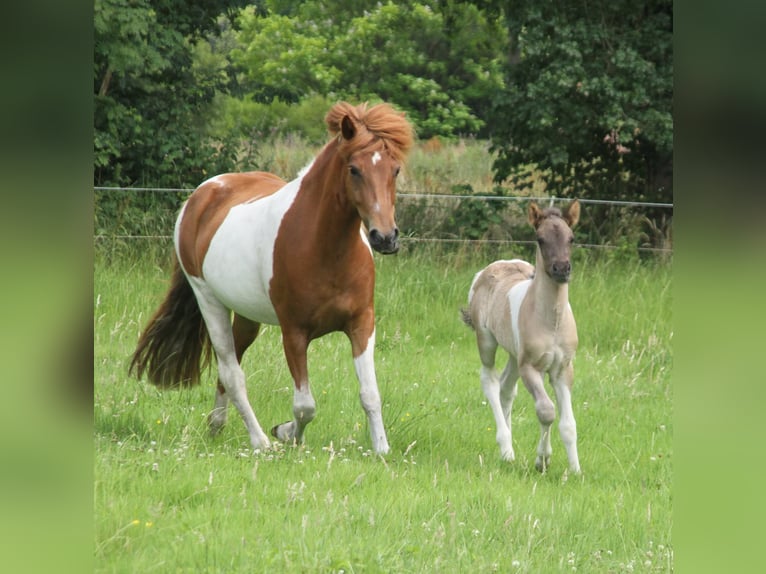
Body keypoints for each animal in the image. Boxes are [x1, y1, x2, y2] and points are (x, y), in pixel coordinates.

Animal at [129, 101, 414, 455]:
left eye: (395, 170)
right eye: (354, 169)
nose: (385, 237)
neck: (326, 249)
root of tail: (203, 194)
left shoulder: (362, 323)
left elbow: (370, 394)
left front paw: (381, 449)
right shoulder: (294, 333)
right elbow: (305, 406)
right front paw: (285, 433)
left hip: (247, 316)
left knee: (231, 364)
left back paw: (216, 425)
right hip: (209, 301)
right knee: (231, 371)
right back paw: (259, 441)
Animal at [461, 200, 582, 473]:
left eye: (571, 238)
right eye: (540, 239)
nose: (562, 269)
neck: (552, 323)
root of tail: (489, 268)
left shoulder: (563, 369)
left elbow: (569, 424)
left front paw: (575, 470)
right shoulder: (530, 368)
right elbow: (546, 411)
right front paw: (542, 460)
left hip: (514, 354)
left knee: (506, 388)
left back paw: (510, 450)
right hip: (488, 342)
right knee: (490, 381)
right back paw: (506, 449)